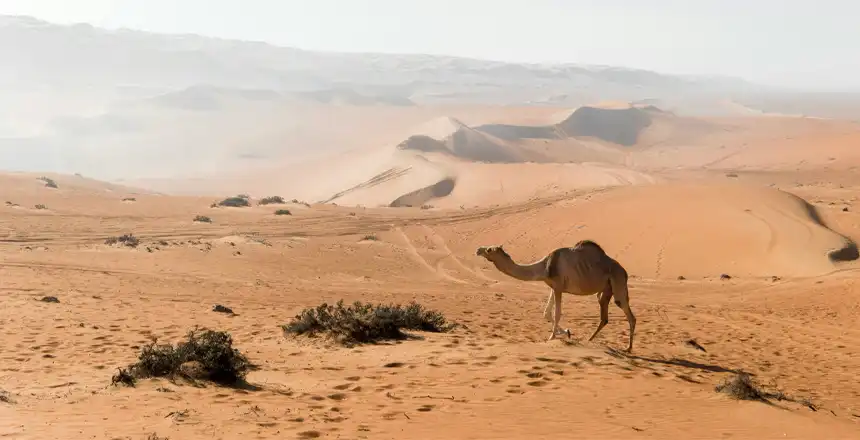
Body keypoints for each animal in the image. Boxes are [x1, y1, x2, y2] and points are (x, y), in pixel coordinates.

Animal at [476, 240, 636, 352]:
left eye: (489, 249)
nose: (478, 249)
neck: (545, 267)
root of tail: (625, 272)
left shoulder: (558, 287)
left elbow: (557, 313)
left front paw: (552, 337)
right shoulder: (554, 287)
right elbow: (547, 313)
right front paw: (567, 332)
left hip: (618, 283)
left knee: (629, 315)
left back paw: (628, 348)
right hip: (606, 289)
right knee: (604, 317)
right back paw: (590, 339)